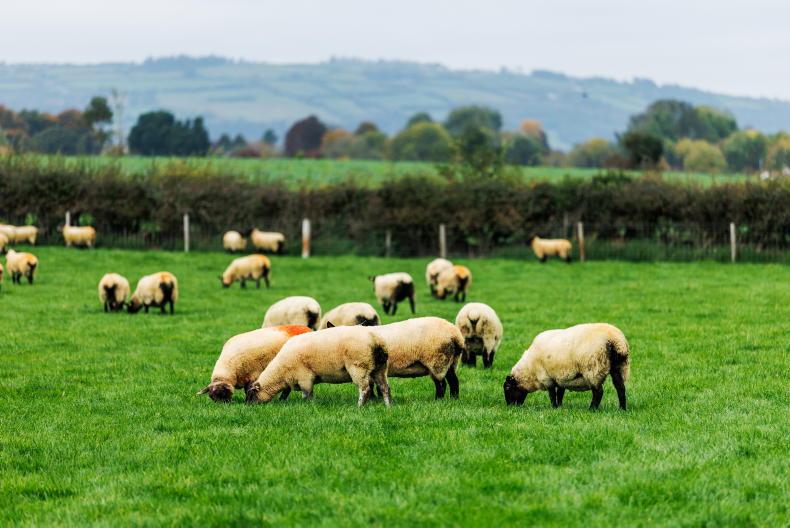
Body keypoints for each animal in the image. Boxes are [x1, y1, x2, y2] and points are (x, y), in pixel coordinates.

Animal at [245, 325, 391, 407]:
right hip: (380, 367)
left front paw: (307, 406)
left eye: (251, 394)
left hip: (358, 366)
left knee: (365, 389)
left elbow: (307, 394)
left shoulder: (304, 377)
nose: (246, 407)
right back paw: (388, 406)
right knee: (385, 388)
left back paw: (359, 407)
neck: (280, 372)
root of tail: (375, 339)